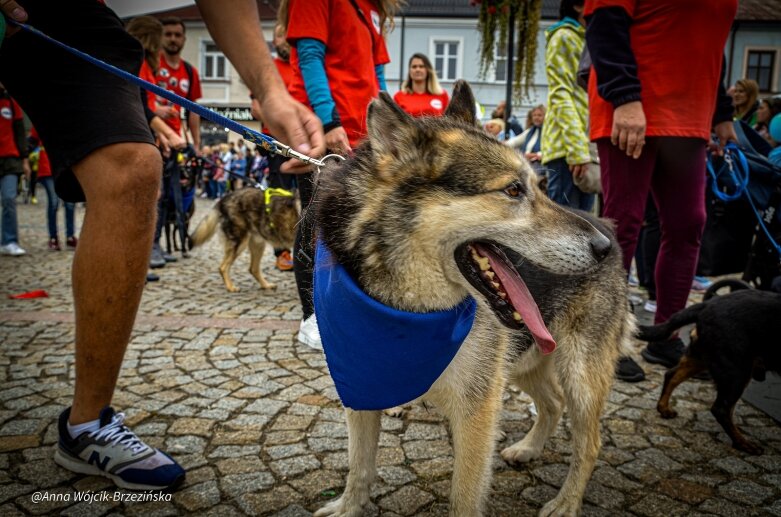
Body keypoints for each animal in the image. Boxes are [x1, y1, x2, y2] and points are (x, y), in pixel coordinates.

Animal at [312, 81, 632, 516]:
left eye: (540, 187)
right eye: (513, 189)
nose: (601, 248)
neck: (403, 314)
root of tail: (607, 224)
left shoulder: (476, 410)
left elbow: (463, 496)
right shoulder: (361, 389)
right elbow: (359, 466)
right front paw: (348, 508)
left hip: (580, 373)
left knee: (589, 441)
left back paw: (566, 503)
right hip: (523, 361)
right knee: (551, 403)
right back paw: (529, 449)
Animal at [640, 288, 780, 454]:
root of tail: (709, 303)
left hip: (703, 357)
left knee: (671, 375)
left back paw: (664, 408)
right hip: (736, 370)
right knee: (721, 409)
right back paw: (742, 443)